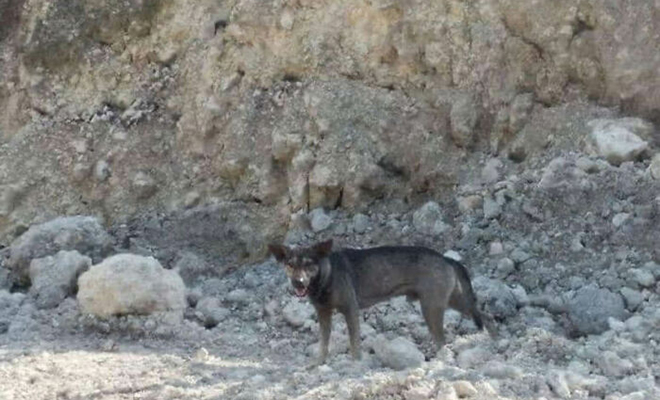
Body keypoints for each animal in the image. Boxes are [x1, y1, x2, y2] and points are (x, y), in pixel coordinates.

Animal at [268, 239, 490, 364]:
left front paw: (356, 364)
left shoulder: (350, 309)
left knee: (454, 333)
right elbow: (323, 343)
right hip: (451, 301)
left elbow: (354, 342)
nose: (298, 282)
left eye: (309, 264)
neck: (326, 276)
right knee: (485, 315)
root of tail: (446, 259)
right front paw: (318, 363)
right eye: (290, 265)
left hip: (433, 308)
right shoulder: (323, 313)